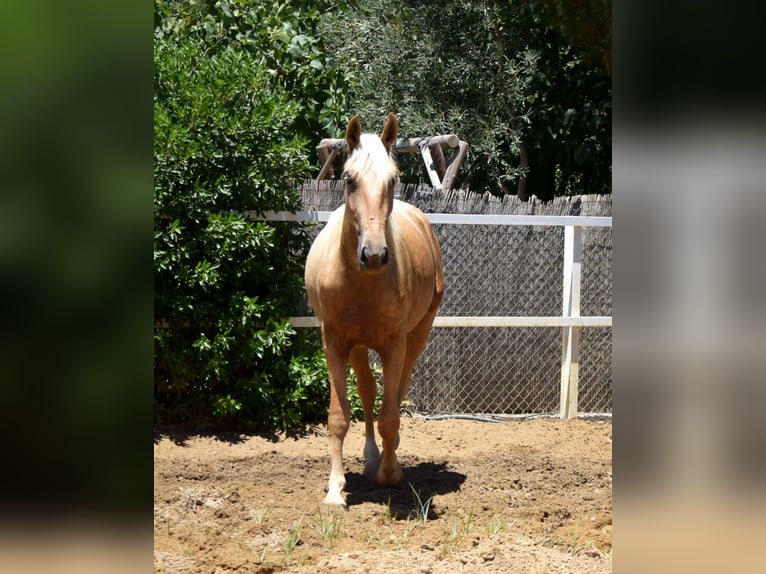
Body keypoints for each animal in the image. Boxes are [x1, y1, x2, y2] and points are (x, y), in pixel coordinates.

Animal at [305, 113, 444, 511]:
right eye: (349, 179)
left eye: (393, 180)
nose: (374, 255)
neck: (358, 280)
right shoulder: (335, 342)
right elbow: (339, 417)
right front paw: (335, 489)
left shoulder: (394, 343)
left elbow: (390, 414)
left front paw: (390, 473)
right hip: (358, 347)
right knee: (367, 393)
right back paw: (370, 458)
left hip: (417, 335)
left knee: (395, 392)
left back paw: (386, 456)